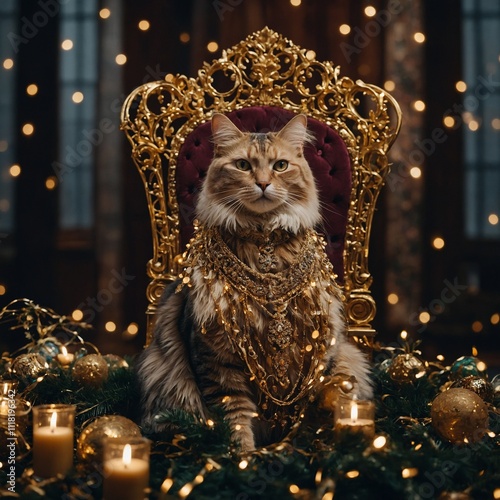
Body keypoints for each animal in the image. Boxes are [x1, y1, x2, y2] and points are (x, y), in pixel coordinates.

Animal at [136, 115, 372, 452]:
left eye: (281, 165)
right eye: (243, 165)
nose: (262, 183)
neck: (265, 243)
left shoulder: (315, 354)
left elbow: (301, 415)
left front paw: (290, 450)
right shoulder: (217, 359)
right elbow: (235, 418)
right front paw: (246, 457)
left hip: (347, 364)